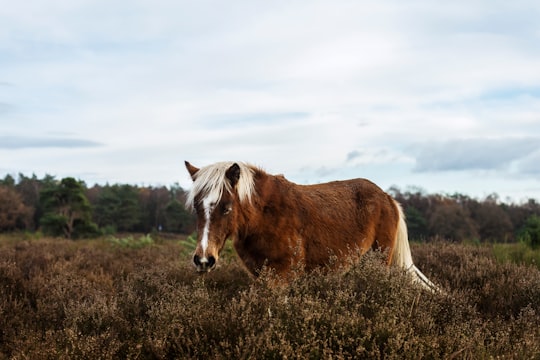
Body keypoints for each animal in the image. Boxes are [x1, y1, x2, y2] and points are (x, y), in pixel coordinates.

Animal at [186, 160, 438, 290]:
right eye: (197, 207)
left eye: (226, 207)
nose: (204, 260)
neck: (264, 217)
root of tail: (388, 198)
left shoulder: (281, 276)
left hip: (379, 260)